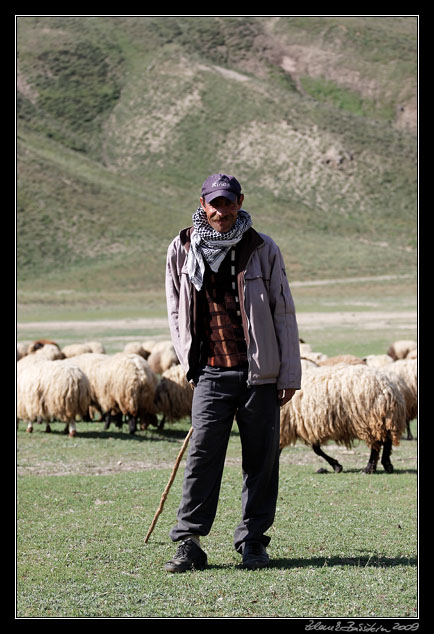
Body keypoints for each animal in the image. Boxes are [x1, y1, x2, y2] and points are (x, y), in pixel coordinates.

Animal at [280, 362, 408, 472]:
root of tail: (388, 388)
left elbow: (316, 450)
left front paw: (336, 466)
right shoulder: (311, 426)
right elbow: (317, 449)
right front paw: (336, 466)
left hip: (371, 419)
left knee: (377, 444)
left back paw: (369, 468)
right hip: (383, 419)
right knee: (386, 440)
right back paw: (387, 465)